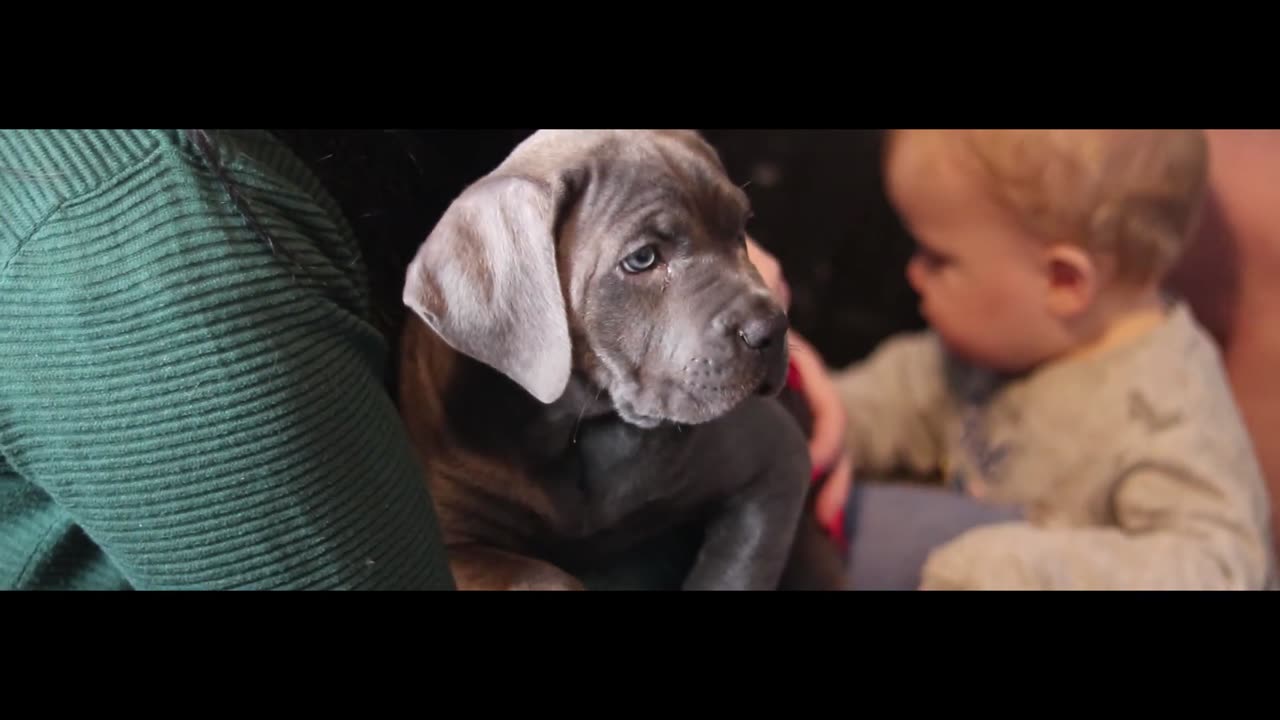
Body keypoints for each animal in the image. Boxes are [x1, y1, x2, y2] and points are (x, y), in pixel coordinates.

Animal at [399, 128, 819, 589]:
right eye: (642, 258)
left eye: (742, 229)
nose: (773, 329)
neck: (573, 428)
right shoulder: (454, 541)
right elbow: (543, 576)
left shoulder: (777, 461)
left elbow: (732, 574)